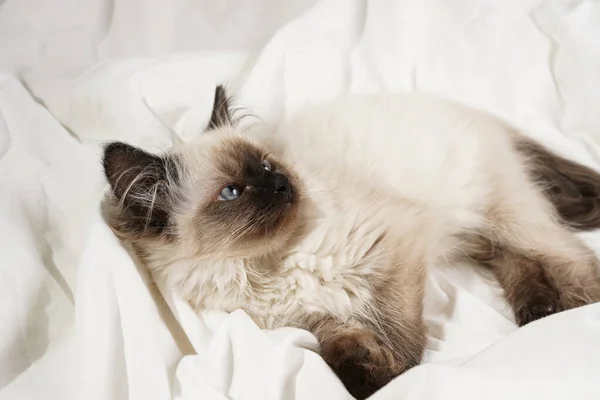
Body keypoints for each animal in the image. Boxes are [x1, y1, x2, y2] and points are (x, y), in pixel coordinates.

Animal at [101, 86, 600, 398]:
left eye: (267, 167)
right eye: (232, 193)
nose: (282, 184)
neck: (265, 265)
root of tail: (480, 114)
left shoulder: (397, 245)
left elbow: (398, 332)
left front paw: (397, 376)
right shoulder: (308, 317)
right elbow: (337, 348)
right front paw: (364, 372)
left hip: (503, 214)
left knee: (571, 257)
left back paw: (571, 312)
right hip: (477, 231)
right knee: (516, 260)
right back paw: (538, 309)